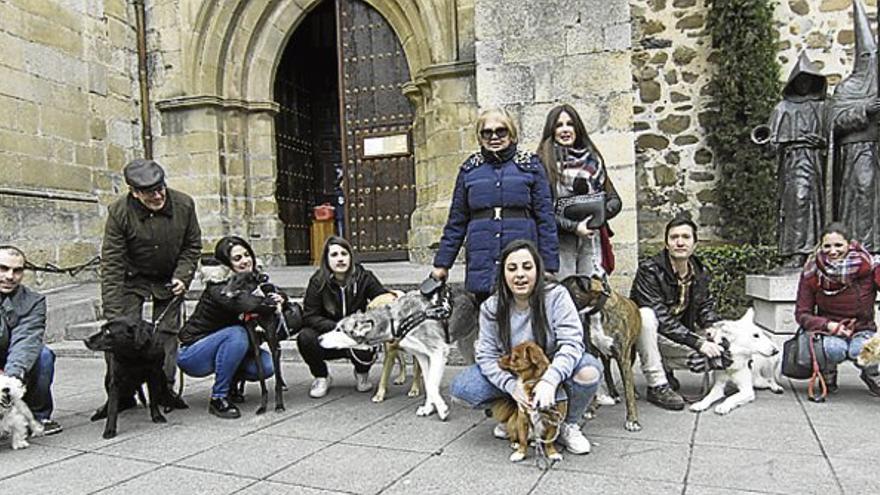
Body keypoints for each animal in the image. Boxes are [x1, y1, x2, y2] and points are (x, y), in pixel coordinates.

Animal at [564, 274, 640, 432]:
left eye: (565, 287)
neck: (596, 312)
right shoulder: (592, 351)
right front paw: (589, 410)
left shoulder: (623, 358)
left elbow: (628, 390)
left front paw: (632, 421)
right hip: (605, 355)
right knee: (607, 372)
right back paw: (614, 394)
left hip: (631, 354)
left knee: (628, 377)